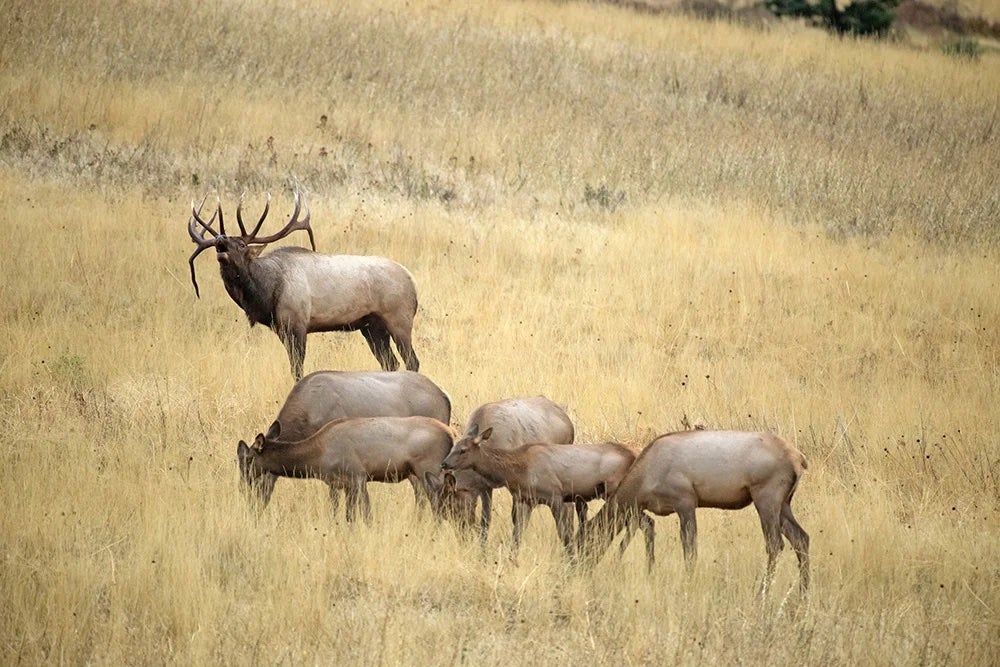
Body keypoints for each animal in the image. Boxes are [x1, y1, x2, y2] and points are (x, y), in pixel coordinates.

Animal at [187, 192, 420, 379]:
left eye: (242, 244)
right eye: (218, 244)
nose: (220, 241)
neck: (266, 294)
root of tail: (412, 282)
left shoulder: (297, 324)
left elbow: (297, 370)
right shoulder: (282, 330)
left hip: (399, 318)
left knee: (412, 361)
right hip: (372, 327)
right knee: (391, 362)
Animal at [237, 416, 454, 523]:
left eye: (248, 459)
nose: (243, 483)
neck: (318, 458)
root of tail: (451, 433)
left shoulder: (357, 476)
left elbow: (363, 514)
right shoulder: (340, 484)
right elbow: (346, 514)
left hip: (428, 469)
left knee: (437, 504)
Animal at [441, 432, 637, 558]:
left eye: (463, 449)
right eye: (454, 446)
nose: (444, 463)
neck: (515, 472)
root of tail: (633, 456)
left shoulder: (555, 496)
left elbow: (564, 534)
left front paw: (571, 559)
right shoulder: (525, 501)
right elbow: (517, 535)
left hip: (615, 492)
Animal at [580, 430, 810, 594]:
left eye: (584, 541)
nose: (578, 568)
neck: (642, 485)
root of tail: (799, 459)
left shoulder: (686, 501)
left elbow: (690, 549)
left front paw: (688, 583)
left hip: (766, 497)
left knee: (775, 543)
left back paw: (762, 592)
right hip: (784, 503)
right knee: (801, 538)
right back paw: (803, 593)